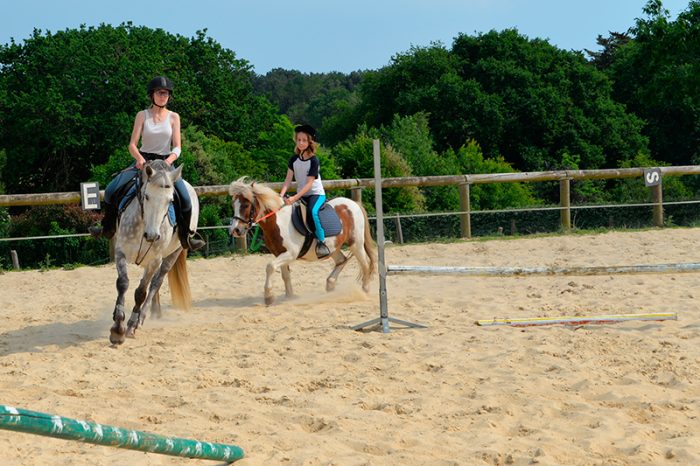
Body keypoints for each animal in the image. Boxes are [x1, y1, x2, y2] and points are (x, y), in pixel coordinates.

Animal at [228, 178, 372, 306]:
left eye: (246, 205)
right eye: (233, 205)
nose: (235, 230)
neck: (278, 221)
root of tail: (353, 203)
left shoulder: (291, 253)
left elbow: (270, 267)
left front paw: (268, 297)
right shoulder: (279, 253)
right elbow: (285, 275)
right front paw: (289, 297)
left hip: (356, 244)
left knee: (365, 264)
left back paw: (365, 290)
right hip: (333, 248)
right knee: (342, 260)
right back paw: (330, 284)